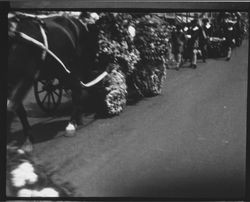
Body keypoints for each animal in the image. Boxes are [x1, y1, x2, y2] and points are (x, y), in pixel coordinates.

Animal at [7, 12, 107, 152]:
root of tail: (78, 22)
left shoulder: (26, 77)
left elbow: (12, 106)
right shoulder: (11, 82)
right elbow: (18, 110)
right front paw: (27, 141)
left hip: (76, 67)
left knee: (77, 91)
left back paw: (71, 124)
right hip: (62, 71)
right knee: (76, 89)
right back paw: (78, 118)